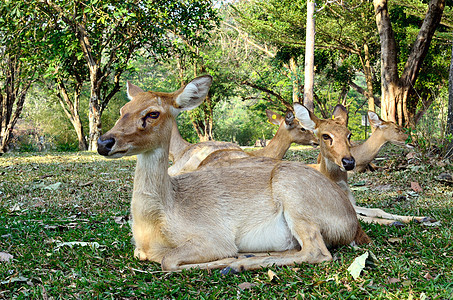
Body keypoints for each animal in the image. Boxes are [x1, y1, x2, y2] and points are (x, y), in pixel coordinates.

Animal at [97, 76, 370, 274]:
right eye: (123, 109)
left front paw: (226, 260)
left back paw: (238, 262)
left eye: (153, 113)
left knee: (318, 252)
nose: (103, 142)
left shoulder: (212, 237)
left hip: (296, 199)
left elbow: (168, 261)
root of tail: (353, 223)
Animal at [294, 104, 430, 226]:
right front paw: (394, 222)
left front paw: (419, 218)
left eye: (349, 134)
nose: (413, 142)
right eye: (325, 136)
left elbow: (376, 210)